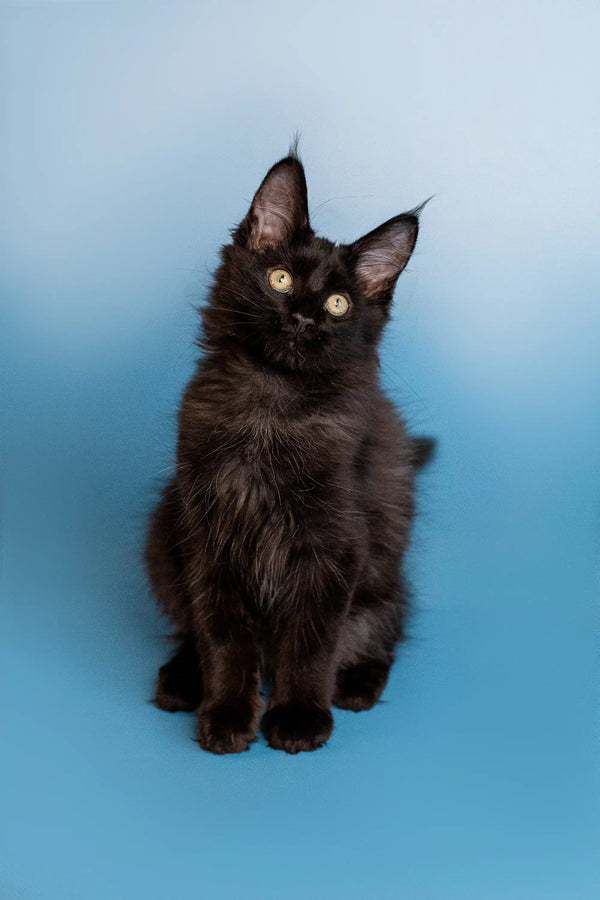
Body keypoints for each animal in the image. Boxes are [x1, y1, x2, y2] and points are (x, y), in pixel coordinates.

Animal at [148, 148, 434, 752]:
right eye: (280, 280)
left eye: (338, 304)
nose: (302, 318)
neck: (271, 409)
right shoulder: (208, 534)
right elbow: (223, 636)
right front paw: (227, 713)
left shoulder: (335, 545)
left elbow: (310, 641)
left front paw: (300, 717)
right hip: (162, 533)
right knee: (190, 628)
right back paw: (182, 681)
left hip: (384, 567)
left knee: (383, 627)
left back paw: (356, 684)